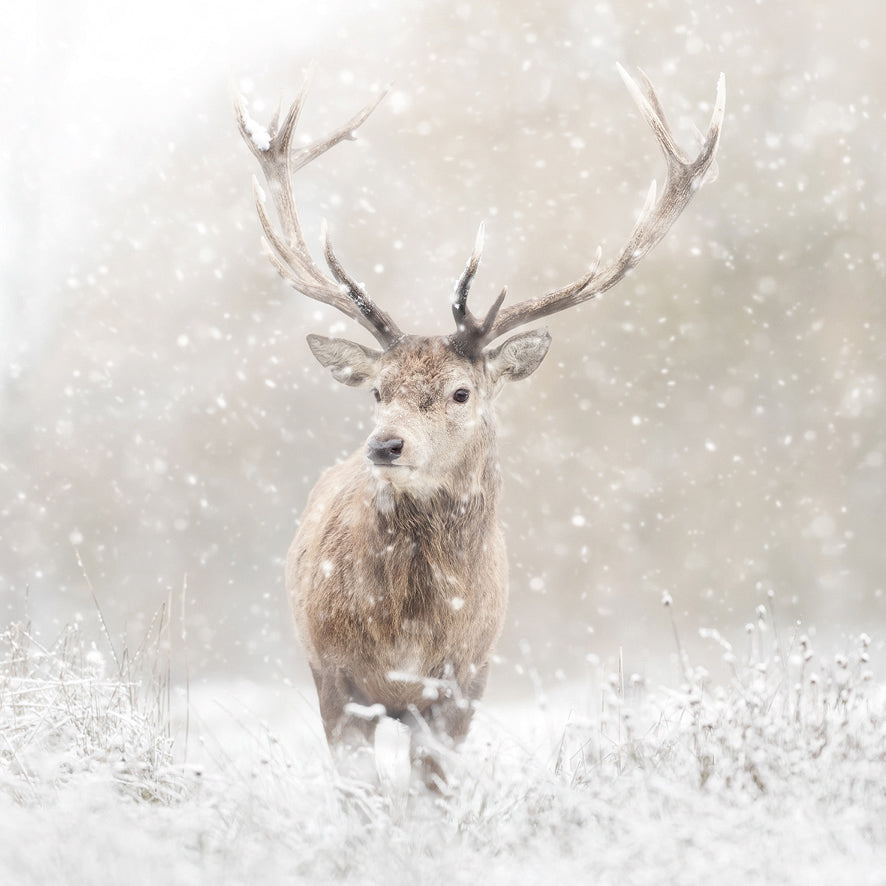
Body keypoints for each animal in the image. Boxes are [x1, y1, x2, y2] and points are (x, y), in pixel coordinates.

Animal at [235, 65, 725, 788]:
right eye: (378, 390)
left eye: (461, 392)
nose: (385, 444)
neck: (408, 634)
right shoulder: (333, 678)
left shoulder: (465, 682)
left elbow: (432, 792)